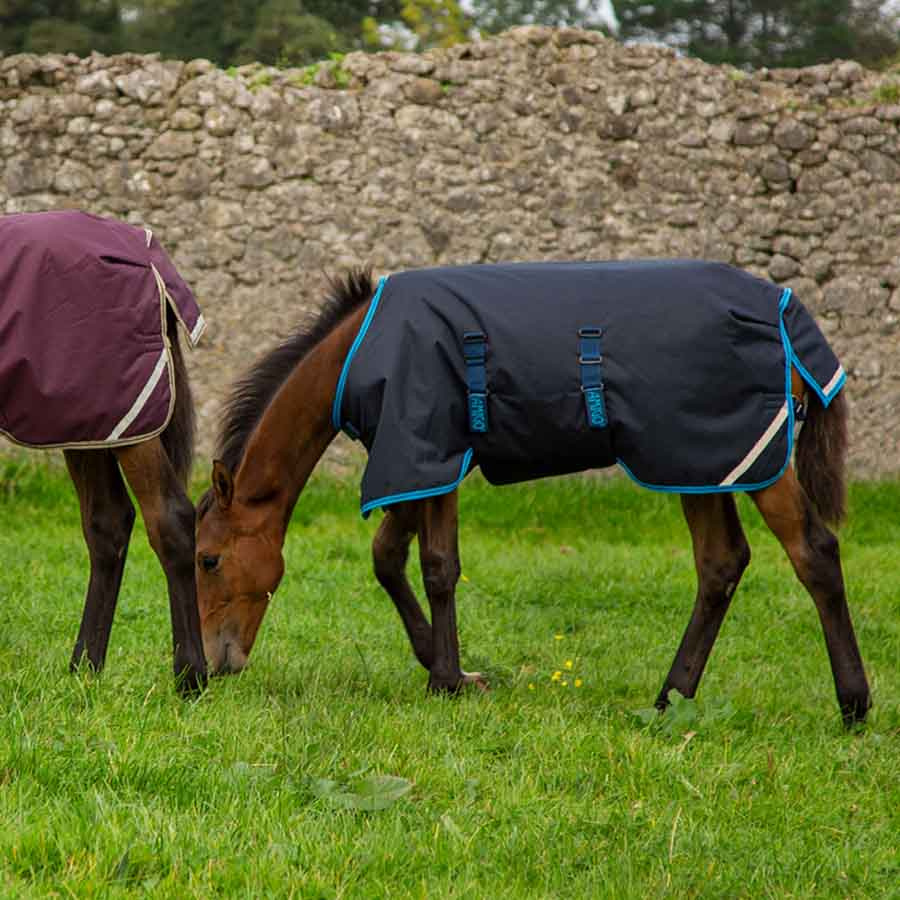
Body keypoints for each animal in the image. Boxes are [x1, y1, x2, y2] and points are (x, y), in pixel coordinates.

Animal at [0, 211, 207, 694]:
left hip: (126, 421)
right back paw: (84, 668)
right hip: (89, 424)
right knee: (108, 525)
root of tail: (145, 253)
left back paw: (190, 677)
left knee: (168, 518)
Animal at [195, 261, 870, 725]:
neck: (360, 350)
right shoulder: (416, 463)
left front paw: (447, 679)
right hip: (703, 463)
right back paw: (670, 698)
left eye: (207, 559)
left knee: (812, 552)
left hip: (743, 461)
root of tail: (786, 314)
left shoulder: (434, 450)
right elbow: (388, 558)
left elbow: (437, 566)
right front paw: (444, 665)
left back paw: (854, 704)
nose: (210, 668)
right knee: (722, 564)